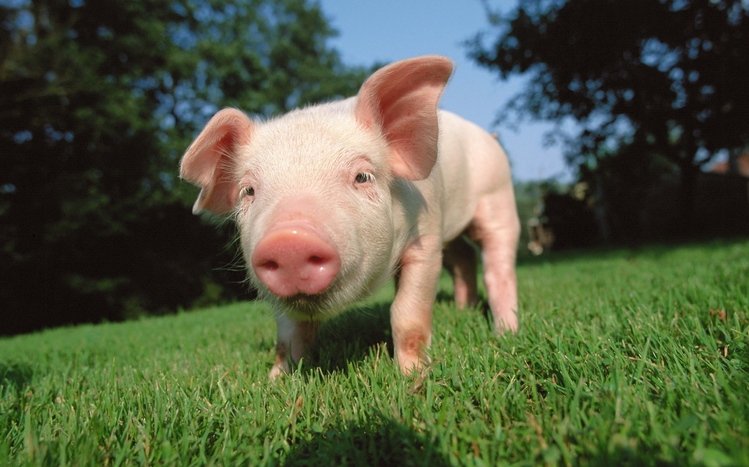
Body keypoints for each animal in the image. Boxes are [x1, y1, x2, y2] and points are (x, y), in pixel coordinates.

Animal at [179, 55, 519, 378]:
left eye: (362, 176)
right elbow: (288, 334)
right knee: (464, 258)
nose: (289, 240)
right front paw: (275, 380)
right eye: (248, 190)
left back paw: (506, 332)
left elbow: (407, 313)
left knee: (497, 263)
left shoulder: (426, 238)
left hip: (498, 195)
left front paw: (413, 375)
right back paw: (463, 311)